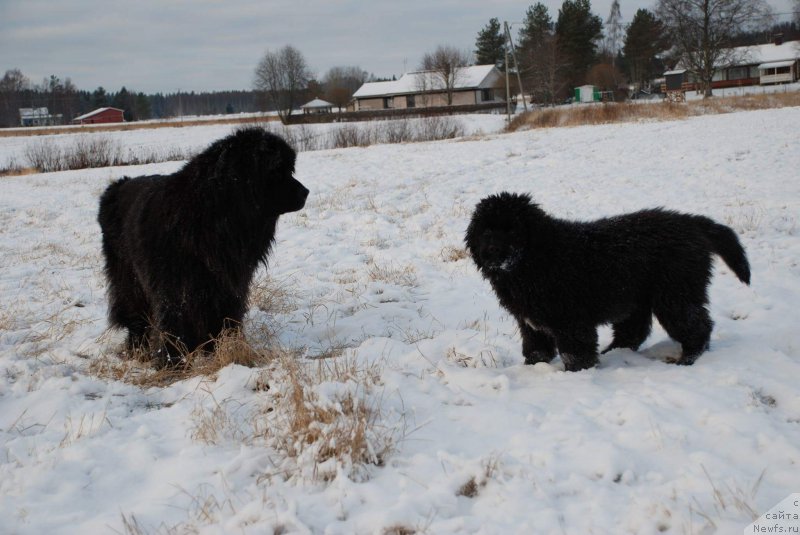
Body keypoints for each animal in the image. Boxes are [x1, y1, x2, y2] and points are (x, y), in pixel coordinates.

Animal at [97, 127, 310, 368]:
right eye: (277, 171)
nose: (305, 192)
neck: (212, 213)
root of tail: (117, 186)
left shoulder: (227, 285)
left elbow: (225, 319)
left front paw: (225, 350)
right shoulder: (174, 288)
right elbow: (175, 324)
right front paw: (171, 362)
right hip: (128, 279)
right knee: (135, 317)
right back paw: (137, 348)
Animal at [466, 193, 752, 372]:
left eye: (512, 229)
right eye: (486, 231)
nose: (491, 252)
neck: (533, 260)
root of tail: (690, 221)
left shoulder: (570, 319)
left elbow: (574, 351)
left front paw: (577, 373)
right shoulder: (530, 322)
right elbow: (536, 349)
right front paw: (533, 368)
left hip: (674, 293)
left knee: (696, 324)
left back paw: (688, 358)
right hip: (638, 297)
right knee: (634, 331)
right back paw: (614, 352)